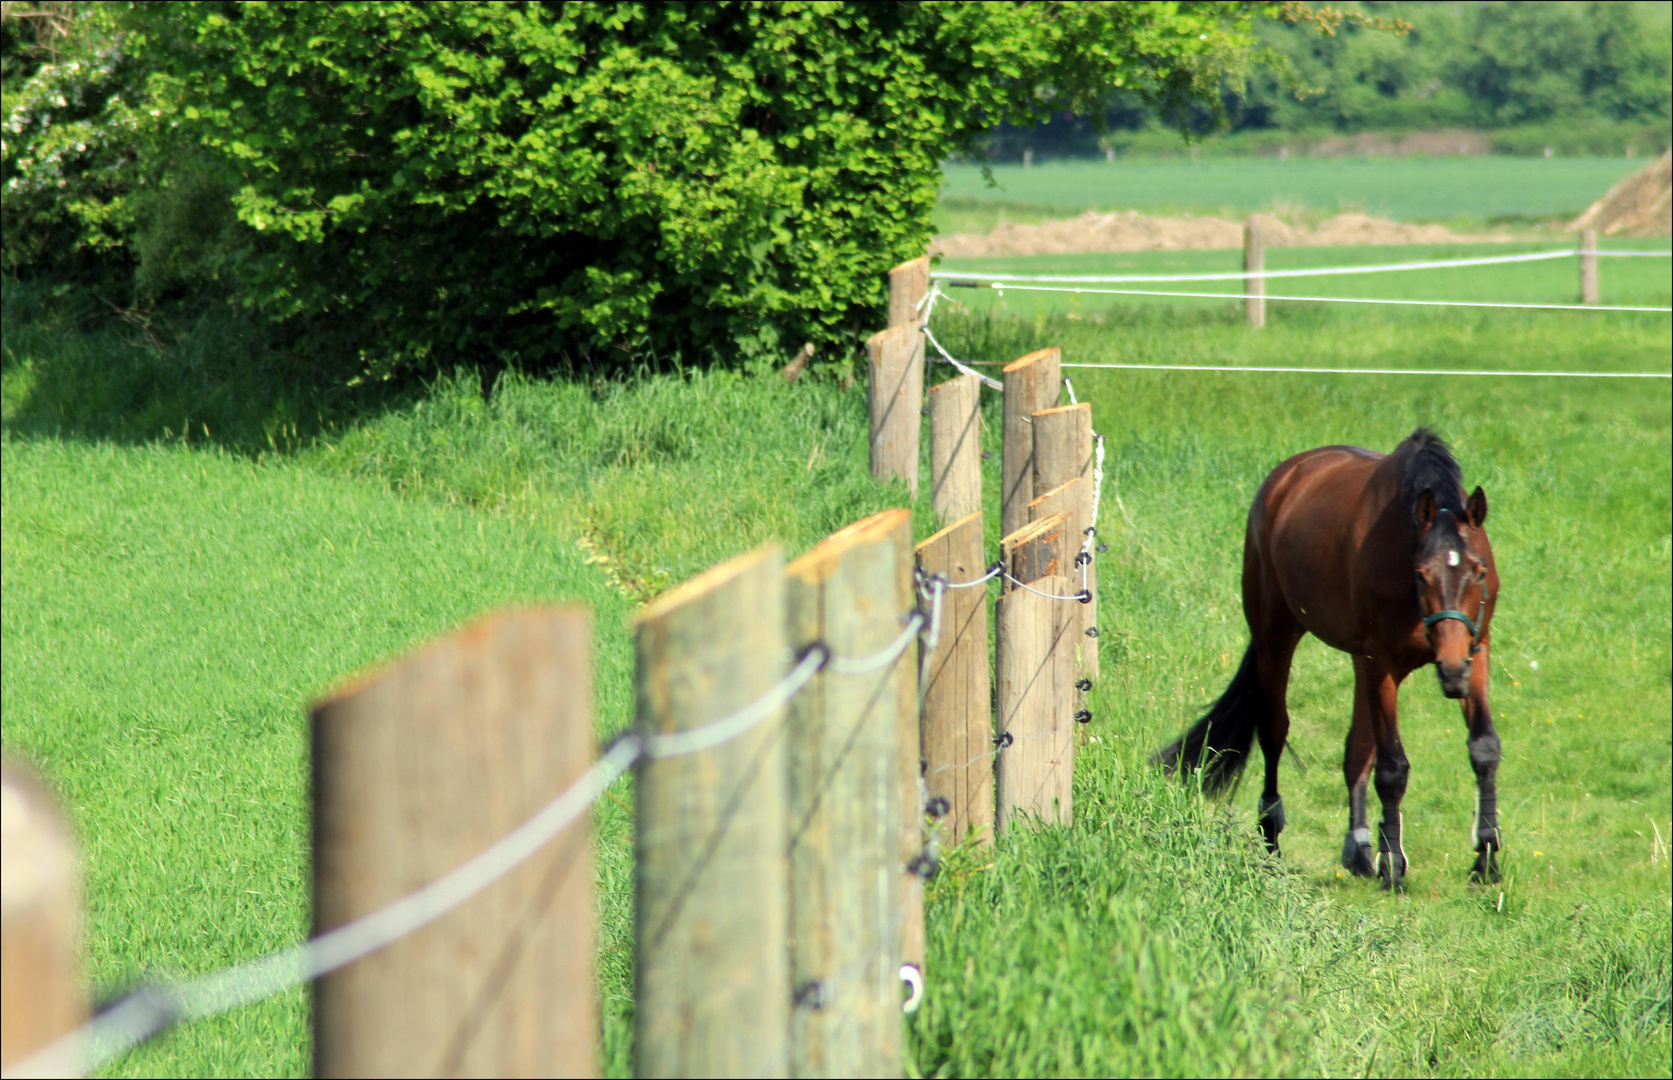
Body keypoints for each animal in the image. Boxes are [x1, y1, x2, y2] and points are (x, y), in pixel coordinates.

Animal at [1164, 427, 1505, 896]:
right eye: (1421, 574)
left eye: (1478, 571)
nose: (1452, 672)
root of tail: (1283, 479)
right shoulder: (1381, 661)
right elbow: (1392, 768)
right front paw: (1393, 865)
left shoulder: (1476, 649)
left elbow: (1483, 748)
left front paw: (1486, 858)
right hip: (1276, 638)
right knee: (1274, 731)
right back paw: (1271, 835)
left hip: (1362, 662)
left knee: (1356, 748)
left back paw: (1359, 849)